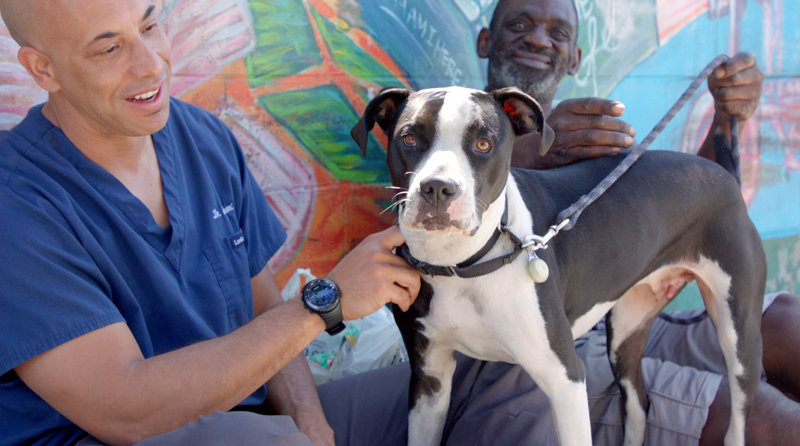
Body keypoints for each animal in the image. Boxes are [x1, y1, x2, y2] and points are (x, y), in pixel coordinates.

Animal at [354, 85, 764, 444]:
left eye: (483, 144)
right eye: (409, 138)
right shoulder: (429, 379)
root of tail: (723, 172)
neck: (463, 264)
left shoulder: (565, 378)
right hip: (626, 333)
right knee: (638, 406)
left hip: (739, 335)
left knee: (738, 417)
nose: (438, 188)